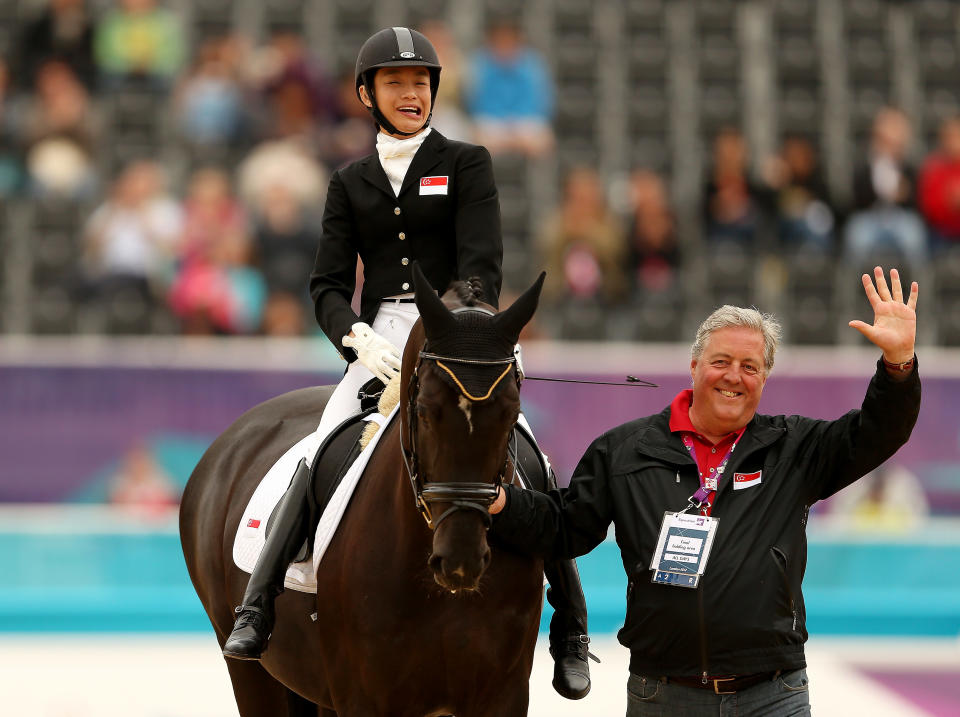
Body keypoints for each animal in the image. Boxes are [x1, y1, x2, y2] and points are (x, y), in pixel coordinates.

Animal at [180, 266, 548, 712]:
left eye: (512, 413)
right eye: (424, 410)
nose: (461, 559)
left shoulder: (503, 695)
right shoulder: (363, 696)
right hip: (253, 673)